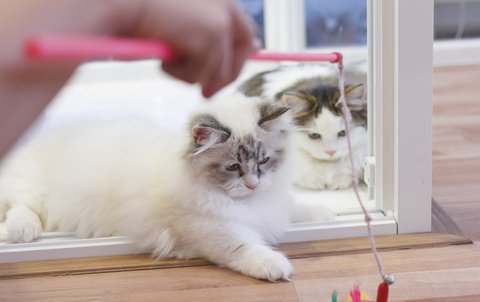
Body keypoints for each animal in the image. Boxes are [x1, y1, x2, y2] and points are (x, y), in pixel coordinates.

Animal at [0, 94, 296, 280]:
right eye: (233, 167)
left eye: (264, 161)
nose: (253, 184)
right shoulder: (209, 228)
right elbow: (244, 247)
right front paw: (275, 265)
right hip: (38, 193)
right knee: (21, 207)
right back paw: (22, 232)